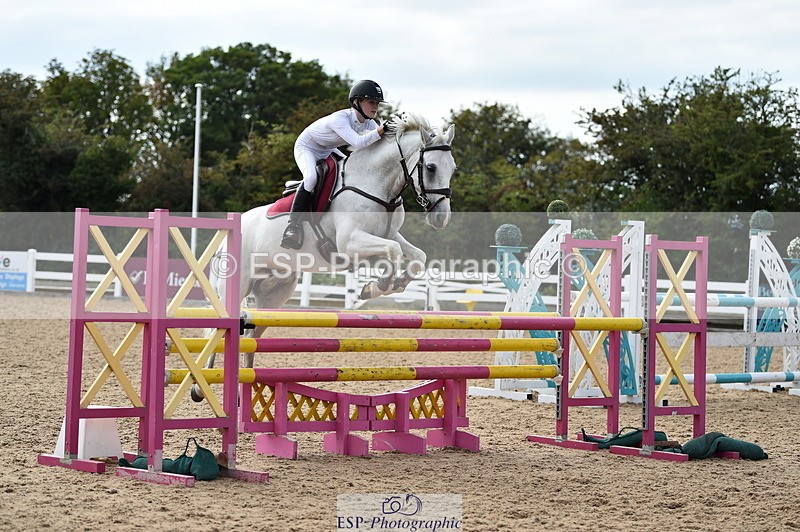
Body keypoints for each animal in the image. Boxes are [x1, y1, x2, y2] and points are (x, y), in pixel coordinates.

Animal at [191, 113, 456, 401]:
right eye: (430, 167)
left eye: (452, 168)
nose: (441, 219)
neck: (375, 185)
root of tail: (229, 233)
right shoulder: (349, 242)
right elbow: (392, 252)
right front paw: (379, 286)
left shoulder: (390, 234)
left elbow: (416, 255)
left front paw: (387, 285)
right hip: (236, 286)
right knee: (220, 329)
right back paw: (199, 387)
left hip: (274, 295)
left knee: (250, 334)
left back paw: (245, 388)